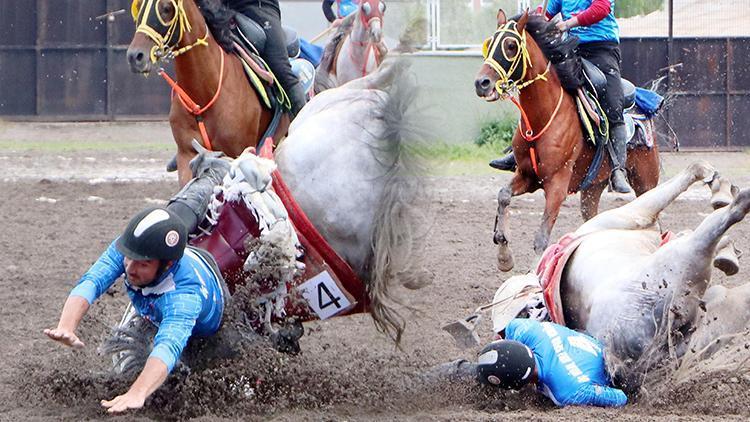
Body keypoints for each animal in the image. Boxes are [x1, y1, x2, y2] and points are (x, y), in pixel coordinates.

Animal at [125, 0, 290, 185]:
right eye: (139, 7)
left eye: (167, 8)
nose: (135, 56)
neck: (203, 95)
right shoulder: (187, 154)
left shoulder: (238, 152)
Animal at [478, 12, 660, 274]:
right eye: (490, 43)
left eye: (511, 46)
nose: (481, 83)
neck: (543, 116)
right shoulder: (527, 176)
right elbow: (503, 196)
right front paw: (504, 256)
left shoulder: (556, 185)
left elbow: (542, 236)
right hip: (592, 189)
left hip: (645, 182)